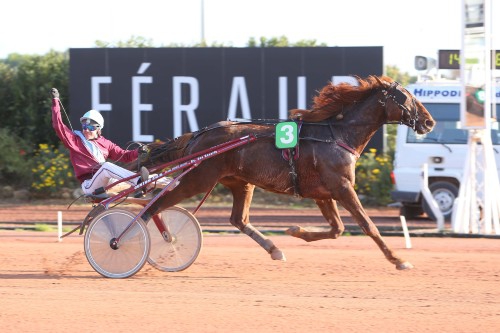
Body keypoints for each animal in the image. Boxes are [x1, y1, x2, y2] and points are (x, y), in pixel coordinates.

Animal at [139, 75, 436, 270]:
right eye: (407, 97)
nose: (429, 121)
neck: (336, 135)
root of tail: (198, 136)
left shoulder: (323, 193)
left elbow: (337, 229)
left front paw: (295, 230)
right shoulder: (341, 187)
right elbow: (368, 225)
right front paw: (398, 259)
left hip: (240, 182)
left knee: (239, 219)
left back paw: (275, 249)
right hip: (198, 178)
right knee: (153, 207)